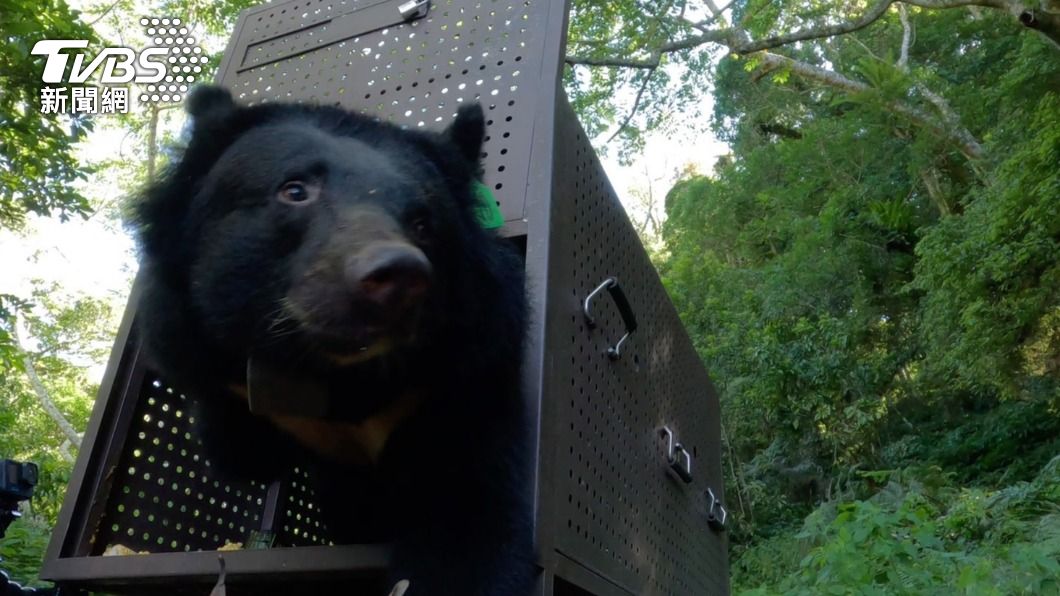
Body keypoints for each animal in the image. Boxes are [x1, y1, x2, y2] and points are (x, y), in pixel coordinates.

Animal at [130, 86, 533, 596]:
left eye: (423, 222)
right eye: (295, 190)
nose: (397, 278)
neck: (336, 373)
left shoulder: (468, 376)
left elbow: (470, 521)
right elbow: (241, 450)